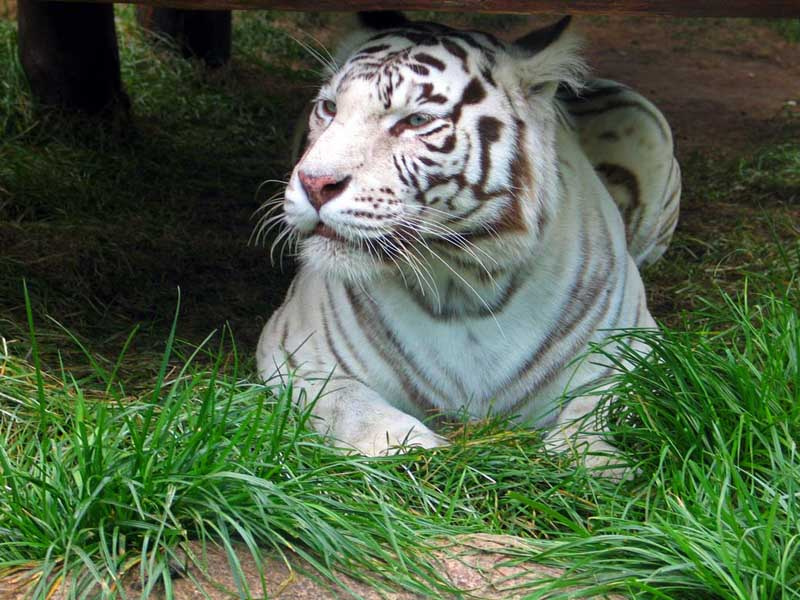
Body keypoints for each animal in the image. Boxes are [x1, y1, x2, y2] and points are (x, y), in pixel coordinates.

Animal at [256, 13, 680, 474]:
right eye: (330, 108)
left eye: (416, 121)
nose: (314, 183)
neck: (462, 282)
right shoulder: (296, 351)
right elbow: (350, 405)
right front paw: (416, 451)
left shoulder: (638, 348)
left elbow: (601, 405)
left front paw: (594, 463)